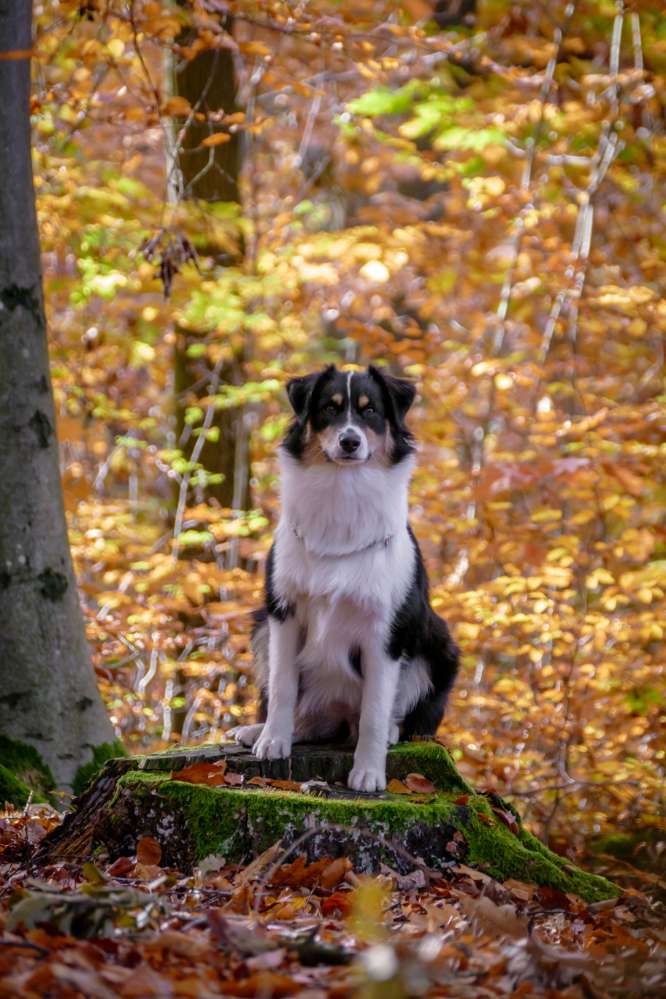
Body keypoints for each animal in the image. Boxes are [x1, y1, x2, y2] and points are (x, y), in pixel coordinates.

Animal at [228, 364, 456, 792]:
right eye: (329, 409)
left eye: (370, 411)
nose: (349, 441)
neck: (342, 490)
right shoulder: (283, 612)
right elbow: (282, 686)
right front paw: (272, 740)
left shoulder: (385, 630)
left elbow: (374, 712)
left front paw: (368, 772)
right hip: (260, 627)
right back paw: (261, 730)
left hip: (439, 645)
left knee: (394, 716)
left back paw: (392, 733)